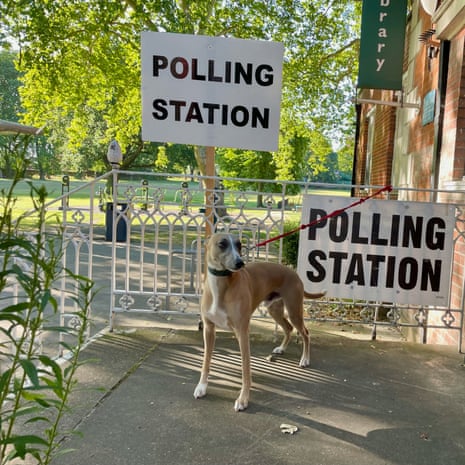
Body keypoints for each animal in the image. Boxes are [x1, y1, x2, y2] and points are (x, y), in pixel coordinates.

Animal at [192, 232, 322, 410]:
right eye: (222, 244)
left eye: (239, 244)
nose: (240, 263)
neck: (221, 285)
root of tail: (293, 272)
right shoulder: (209, 330)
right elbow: (205, 362)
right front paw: (201, 387)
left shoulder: (242, 332)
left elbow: (246, 369)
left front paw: (243, 399)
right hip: (275, 310)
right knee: (288, 328)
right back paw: (281, 348)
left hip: (294, 310)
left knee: (305, 333)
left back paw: (305, 359)